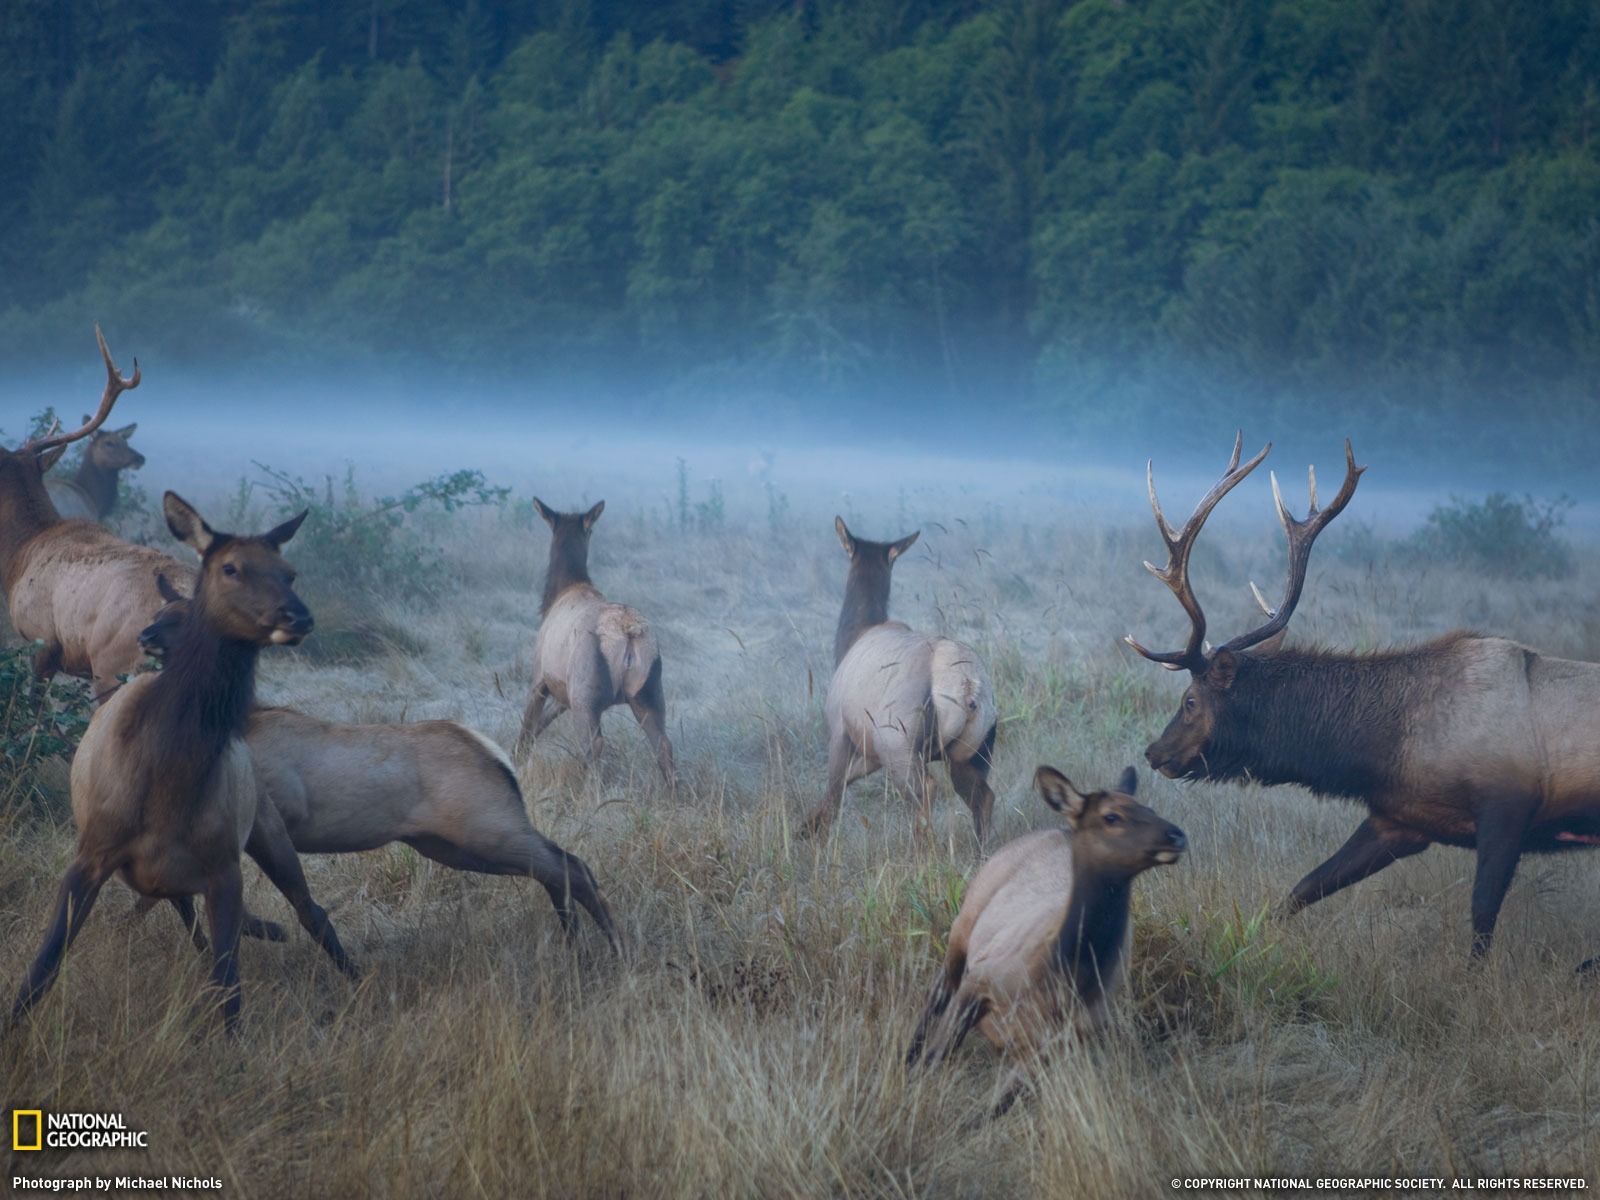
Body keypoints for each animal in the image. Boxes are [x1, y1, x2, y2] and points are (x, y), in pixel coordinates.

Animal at [515, 499, 672, 790]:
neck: (559, 593)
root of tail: (629, 634)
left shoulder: (541, 677)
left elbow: (527, 728)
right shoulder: (563, 692)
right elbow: (541, 723)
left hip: (586, 692)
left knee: (595, 745)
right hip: (650, 690)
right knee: (663, 744)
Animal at [800, 521, 998, 838]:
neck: (854, 637)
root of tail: (967, 686)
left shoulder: (841, 731)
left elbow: (834, 793)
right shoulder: (870, 751)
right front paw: (804, 827)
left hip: (899, 745)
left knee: (926, 793)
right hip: (970, 754)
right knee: (984, 797)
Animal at [908, 764, 1184, 1113]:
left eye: (1150, 809)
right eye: (1111, 816)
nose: (1177, 835)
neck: (1061, 978)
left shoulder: (1055, 1046)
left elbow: (992, 1110)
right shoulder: (982, 978)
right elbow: (936, 1057)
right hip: (964, 921)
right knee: (938, 990)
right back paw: (907, 1054)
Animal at [1126, 438, 1600, 972]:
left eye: (1189, 700)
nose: (1154, 752)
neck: (1385, 747)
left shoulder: (1507, 806)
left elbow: (1482, 917)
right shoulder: (1399, 818)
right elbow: (1304, 887)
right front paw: (1254, 942)